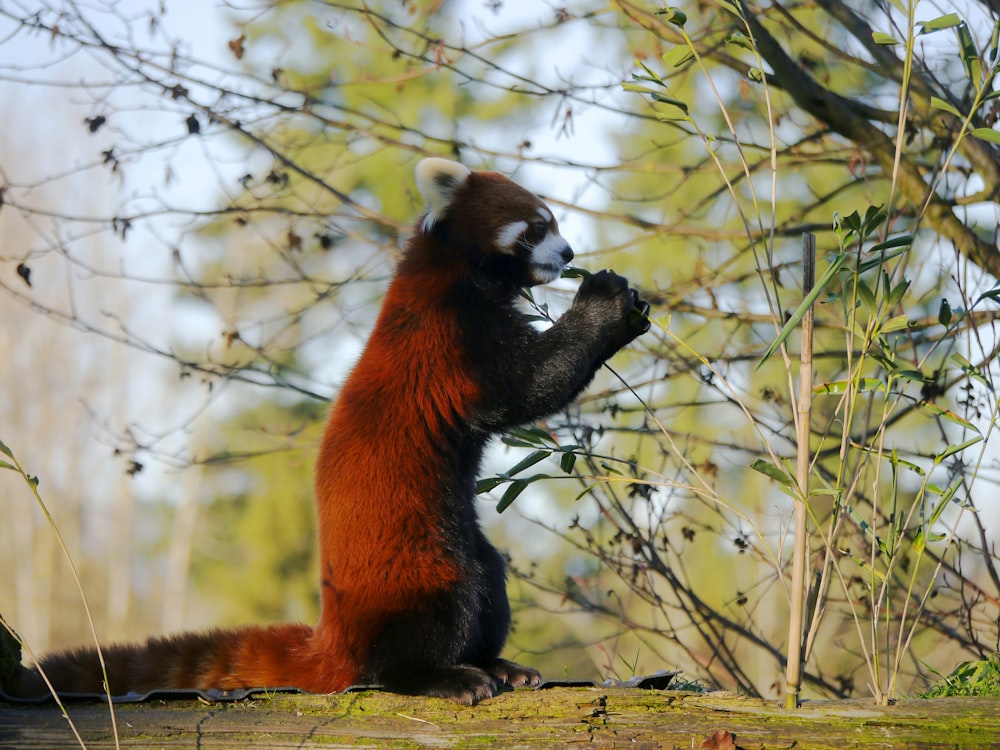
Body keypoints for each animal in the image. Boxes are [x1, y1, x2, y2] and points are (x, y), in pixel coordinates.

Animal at [7, 157, 652, 704]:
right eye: (537, 226)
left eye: (555, 224)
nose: (568, 253)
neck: (450, 271)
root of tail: (335, 634)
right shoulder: (452, 341)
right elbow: (531, 384)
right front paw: (606, 304)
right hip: (417, 564)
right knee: (426, 624)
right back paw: (444, 676)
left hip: (469, 542)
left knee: (491, 580)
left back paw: (497, 664)